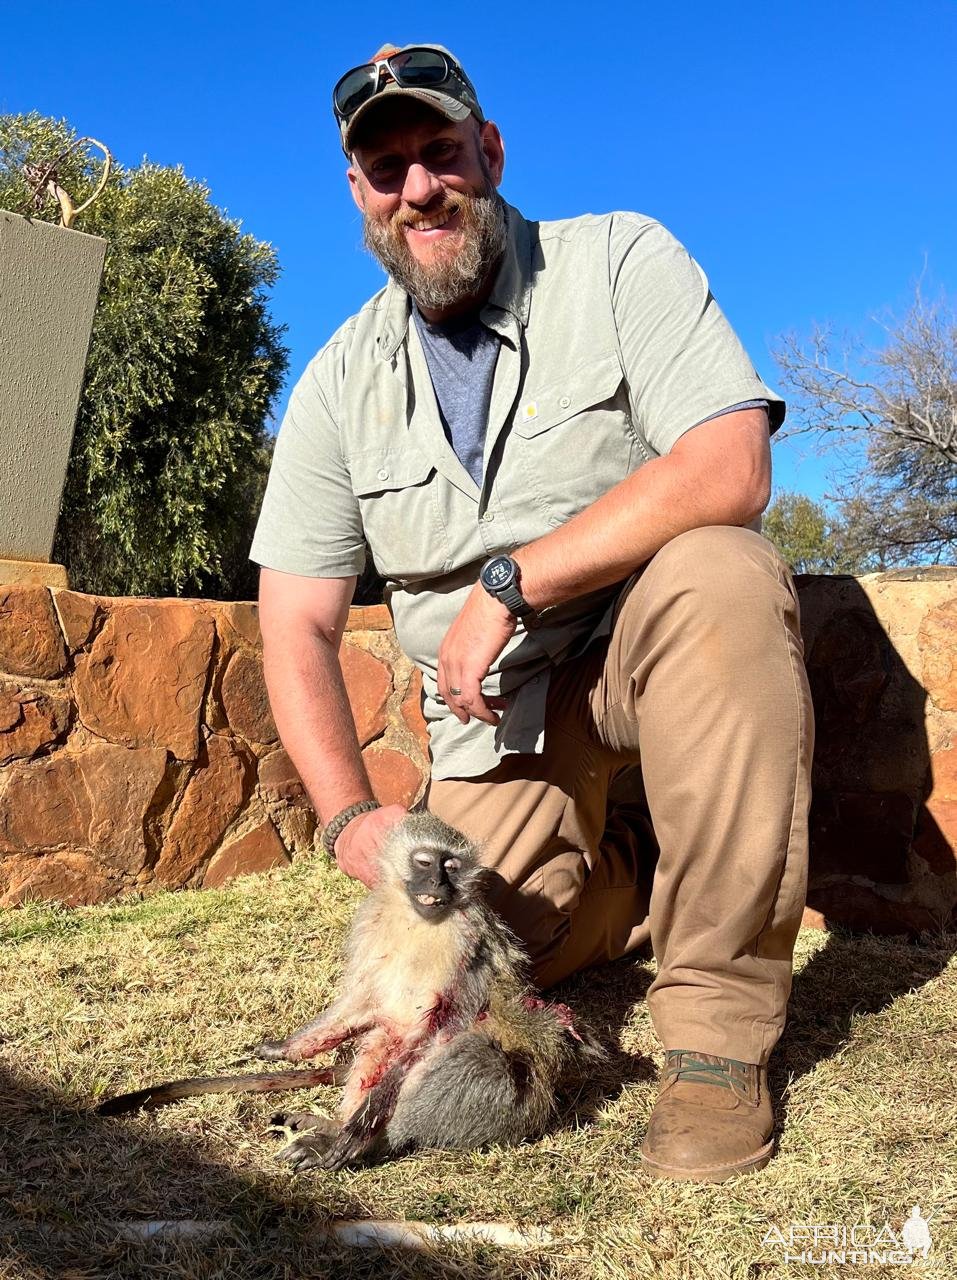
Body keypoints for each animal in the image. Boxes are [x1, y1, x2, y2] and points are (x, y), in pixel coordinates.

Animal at [99, 814, 606, 1167]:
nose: (437, 883)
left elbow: (451, 1019)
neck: (419, 920)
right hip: (388, 1044)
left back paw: (366, 1138)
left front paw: (362, 1130)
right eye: (425, 862)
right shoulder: (372, 923)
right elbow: (363, 1002)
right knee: (384, 1049)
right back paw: (335, 1122)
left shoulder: (471, 940)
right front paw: (285, 1048)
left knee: (480, 1057)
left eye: (452, 866)